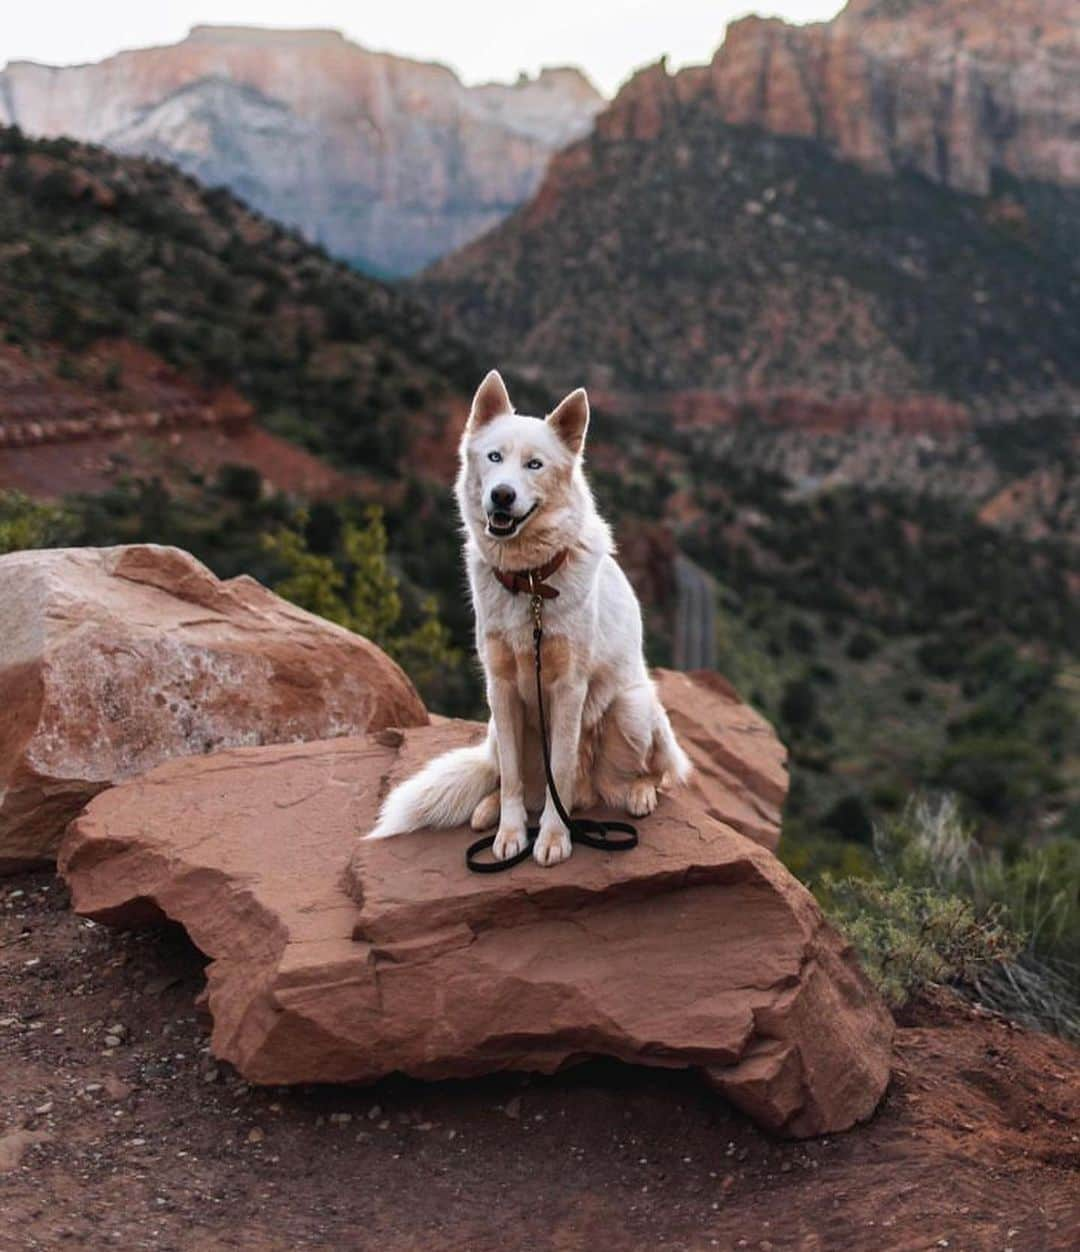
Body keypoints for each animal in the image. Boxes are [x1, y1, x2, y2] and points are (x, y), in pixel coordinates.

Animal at [367, 365, 690, 866]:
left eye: (535, 465)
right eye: (494, 457)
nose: (502, 495)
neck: (532, 583)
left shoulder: (568, 688)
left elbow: (560, 765)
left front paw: (554, 838)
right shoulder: (498, 686)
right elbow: (515, 779)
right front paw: (510, 832)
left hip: (633, 709)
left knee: (649, 772)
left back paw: (639, 793)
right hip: (495, 731)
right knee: (510, 776)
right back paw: (487, 809)